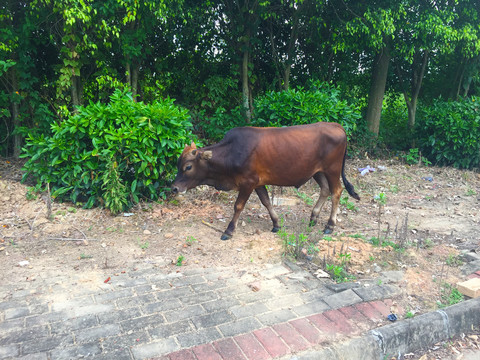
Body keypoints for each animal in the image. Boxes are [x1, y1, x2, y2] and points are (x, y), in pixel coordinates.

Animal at [171, 122, 358, 240]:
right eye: (178, 164)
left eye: (188, 167)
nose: (174, 188)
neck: (231, 152)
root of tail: (335, 125)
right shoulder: (258, 183)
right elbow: (266, 202)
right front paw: (276, 224)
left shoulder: (248, 183)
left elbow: (238, 206)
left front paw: (229, 230)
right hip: (317, 172)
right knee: (325, 190)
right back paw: (313, 218)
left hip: (332, 170)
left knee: (336, 191)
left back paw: (330, 225)